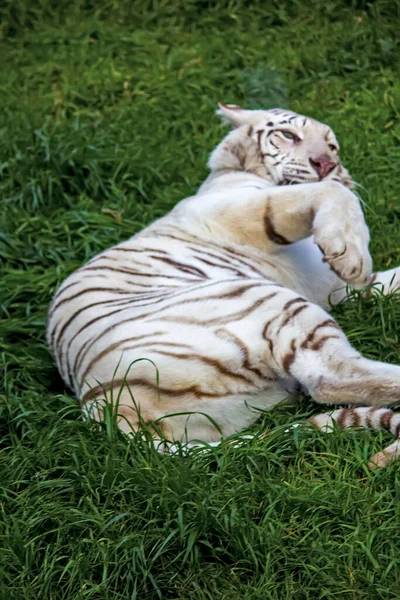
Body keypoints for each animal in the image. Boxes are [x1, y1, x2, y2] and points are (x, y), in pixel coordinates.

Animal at [45, 103, 400, 468]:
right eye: (289, 135)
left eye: (332, 147)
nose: (326, 164)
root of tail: (106, 408)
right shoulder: (254, 209)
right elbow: (334, 191)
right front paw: (354, 255)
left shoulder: (337, 290)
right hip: (268, 302)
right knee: (329, 376)